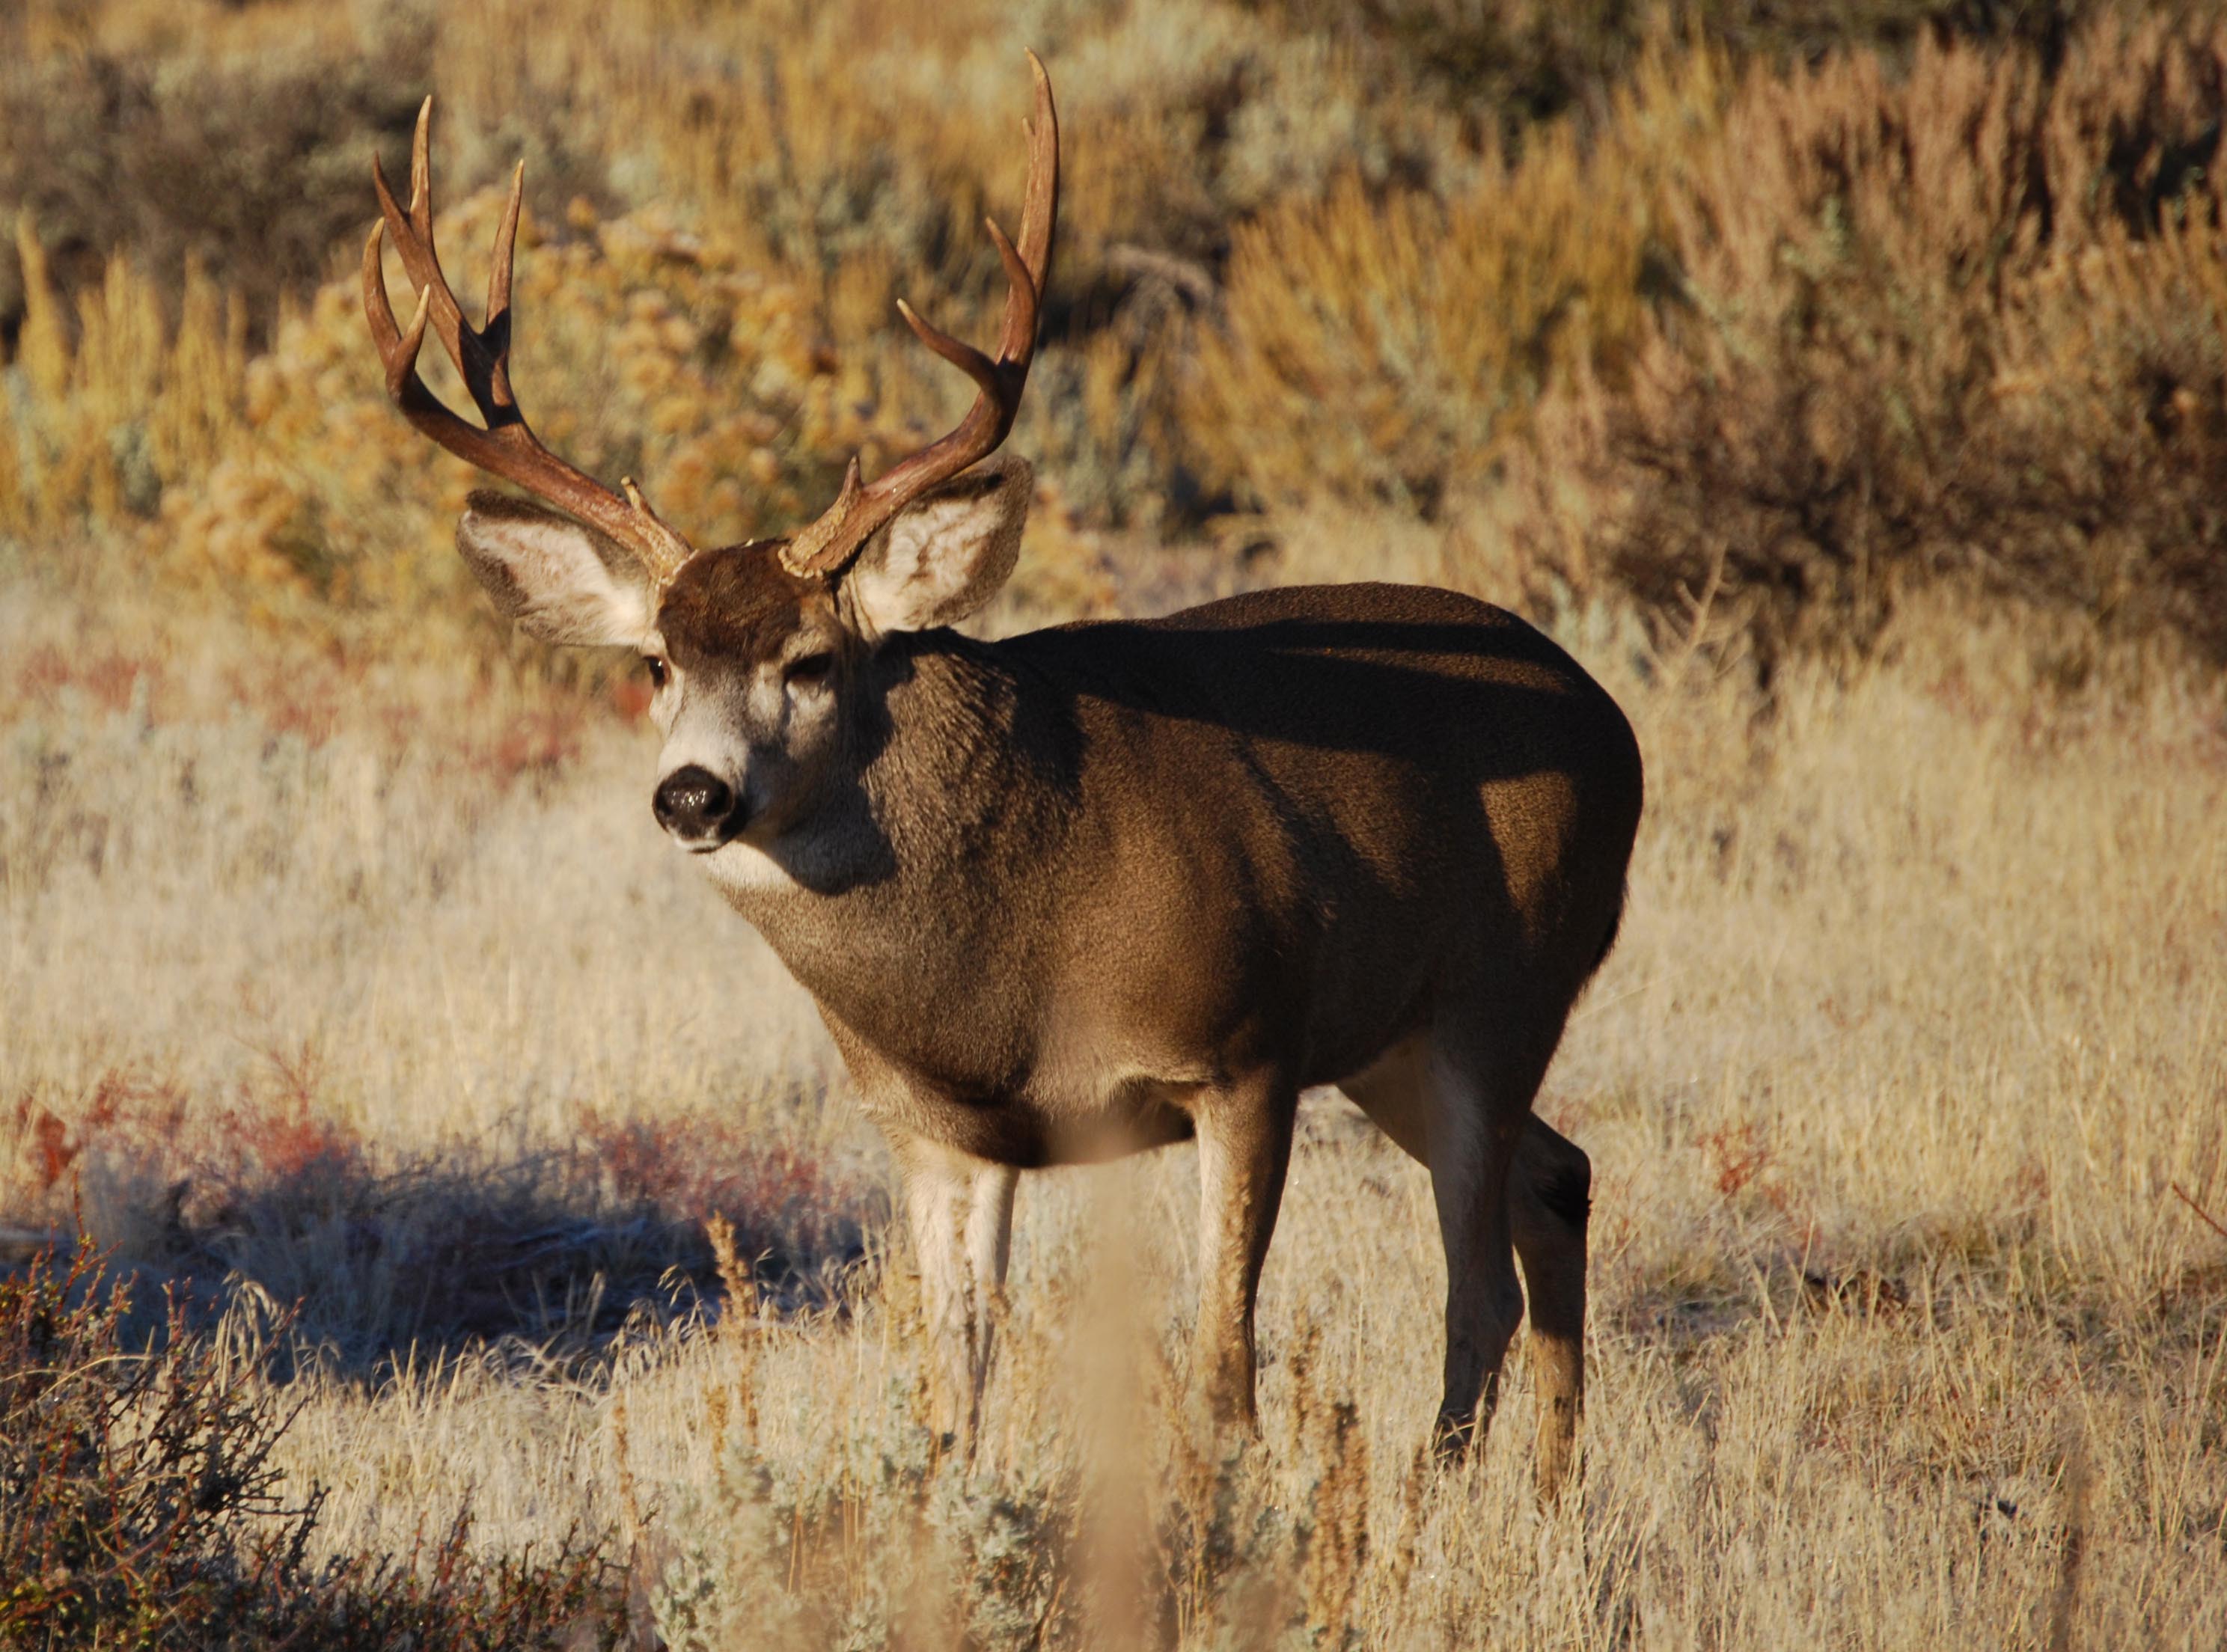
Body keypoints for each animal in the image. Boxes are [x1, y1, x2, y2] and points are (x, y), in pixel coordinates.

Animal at [362, 55, 1641, 1500]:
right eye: (651, 664)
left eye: (811, 659)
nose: (692, 794)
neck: (999, 981)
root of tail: (1612, 720)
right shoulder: (932, 1126)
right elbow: (952, 1399)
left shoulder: (1244, 1050)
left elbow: (1224, 1375)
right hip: (1401, 1040)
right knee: (1557, 1178)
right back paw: (1555, 1491)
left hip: (1503, 986)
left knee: (1479, 1278)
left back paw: (1448, 1497)